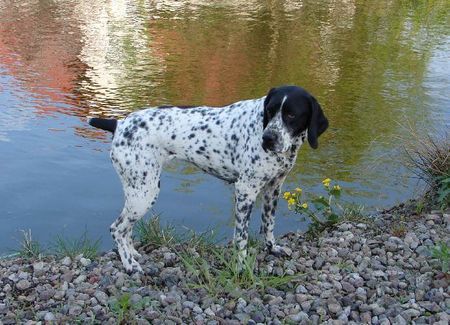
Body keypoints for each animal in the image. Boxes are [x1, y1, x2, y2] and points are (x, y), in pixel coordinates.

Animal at [89, 85, 326, 272]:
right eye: (269, 111)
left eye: (291, 115)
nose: (267, 138)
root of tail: (119, 124)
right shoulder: (245, 191)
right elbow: (241, 238)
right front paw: (241, 266)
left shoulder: (273, 188)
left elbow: (268, 224)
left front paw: (272, 248)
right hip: (144, 192)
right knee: (117, 229)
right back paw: (130, 265)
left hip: (137, 192)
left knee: (125, 229)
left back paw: (132, 254)